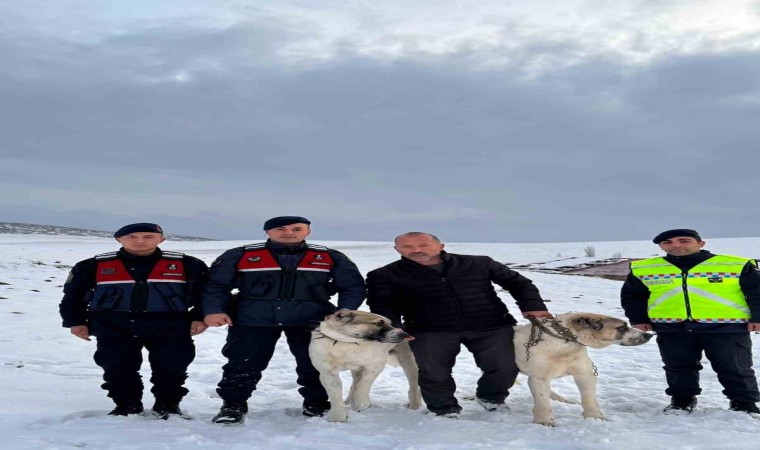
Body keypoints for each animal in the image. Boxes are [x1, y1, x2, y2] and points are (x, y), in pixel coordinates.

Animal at [512, 312, 652, 426]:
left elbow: (588, 398)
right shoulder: (539, 378)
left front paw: (595, 417)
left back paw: (564, 400)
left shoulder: (585, 374)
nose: (648, 335)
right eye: (622, 327)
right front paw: (543, 421)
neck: (565, 342)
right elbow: (542, 402)